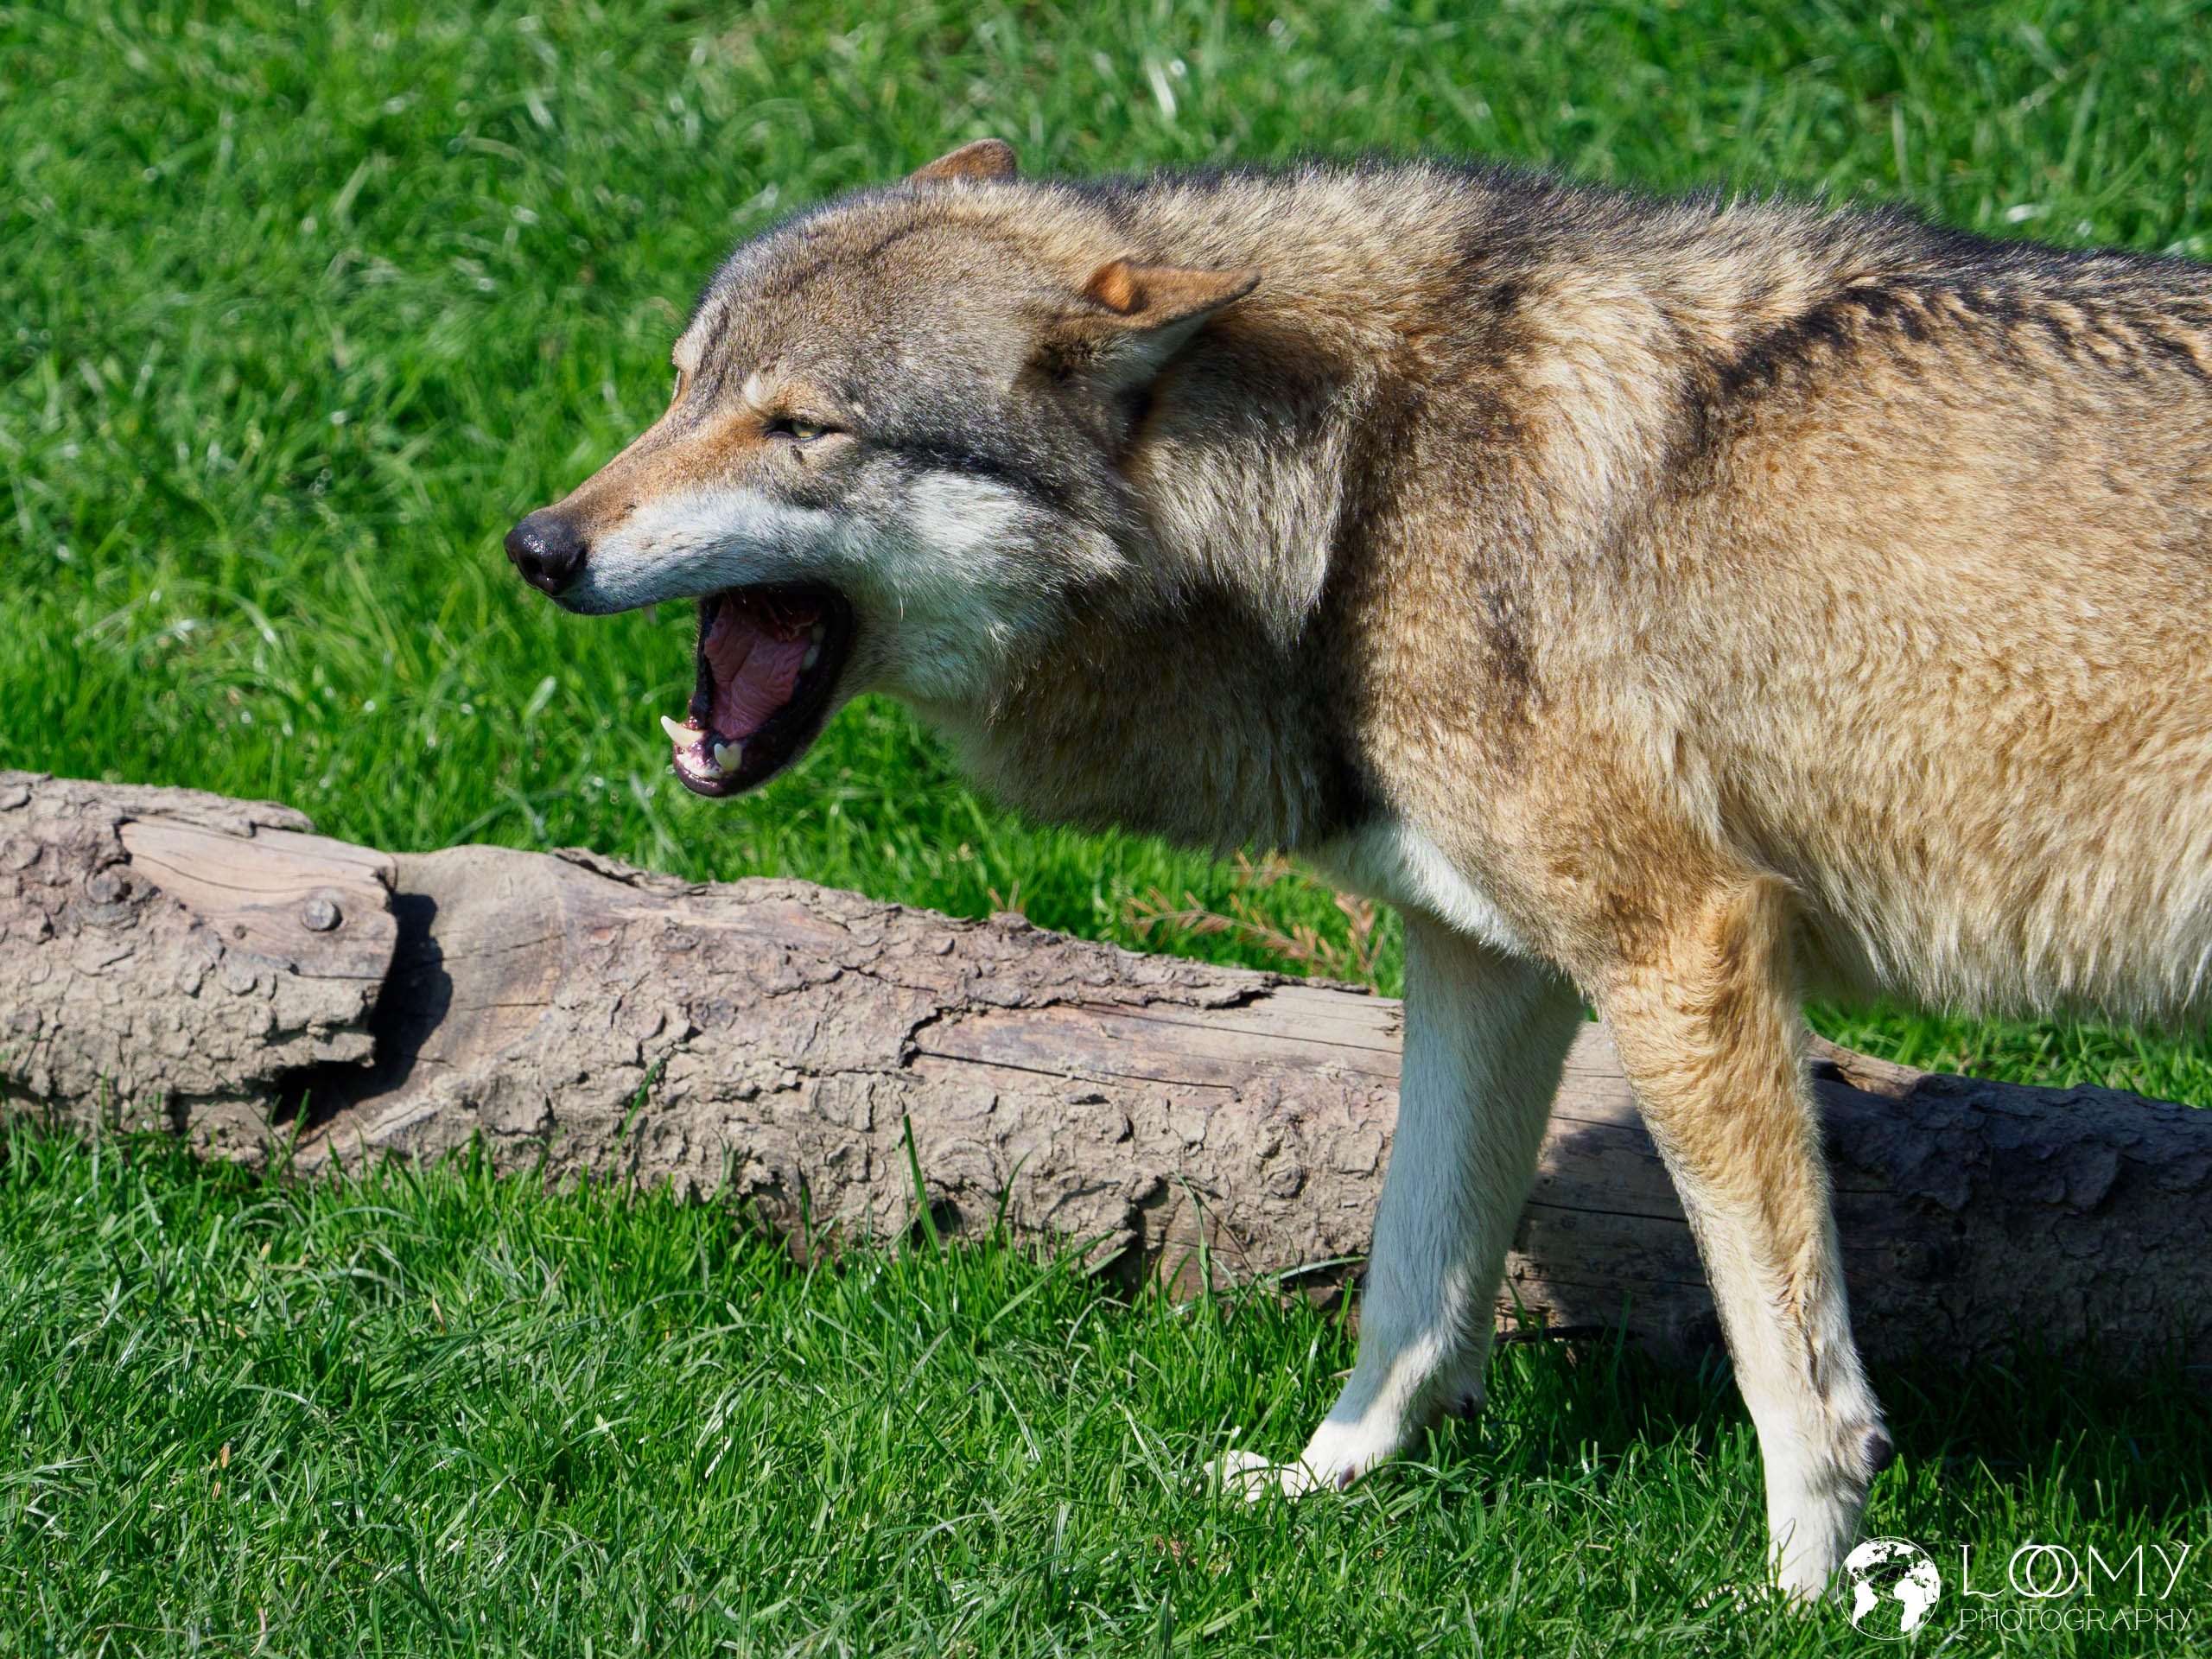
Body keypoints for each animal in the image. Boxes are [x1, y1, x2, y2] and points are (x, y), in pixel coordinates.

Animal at [505, 139, 2212, 1599]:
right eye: (681, 389)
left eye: (803, 426)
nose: (536, 547)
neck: (1364, 487)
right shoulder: (1488, 963)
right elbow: (1414, 1281)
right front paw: (1329, 1483)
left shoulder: (1685, 945)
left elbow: (1786, 1364)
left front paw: (1805, 1596)